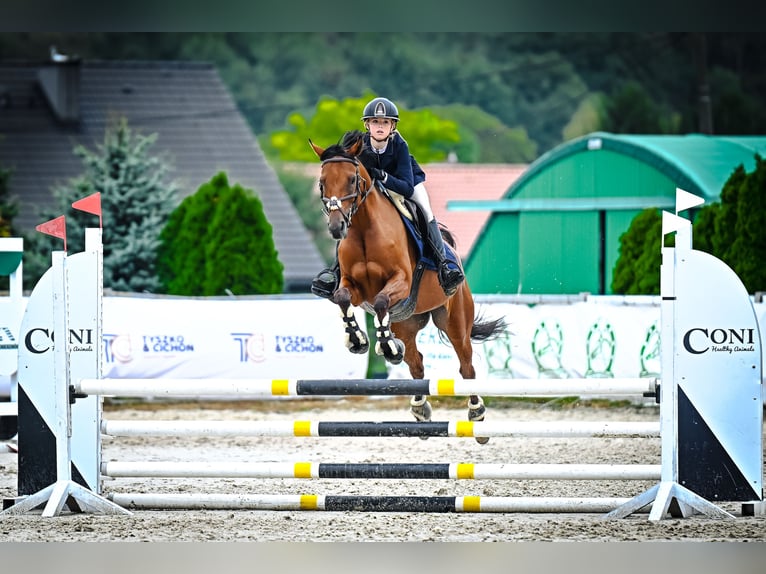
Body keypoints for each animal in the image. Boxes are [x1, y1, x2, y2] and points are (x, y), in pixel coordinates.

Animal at [309, 130, 507, 443]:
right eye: (322, 182)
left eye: (352, 180)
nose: (336, 228)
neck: (364, 229)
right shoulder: (354, 287)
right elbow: (341, 297)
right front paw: (358, 340)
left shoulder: (400, 281)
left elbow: (380, 301)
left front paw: (385, 346)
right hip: (406, 321)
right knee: (416, 362)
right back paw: (418, 408)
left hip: (454, 321)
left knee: (466, 365)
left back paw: (477, 416)